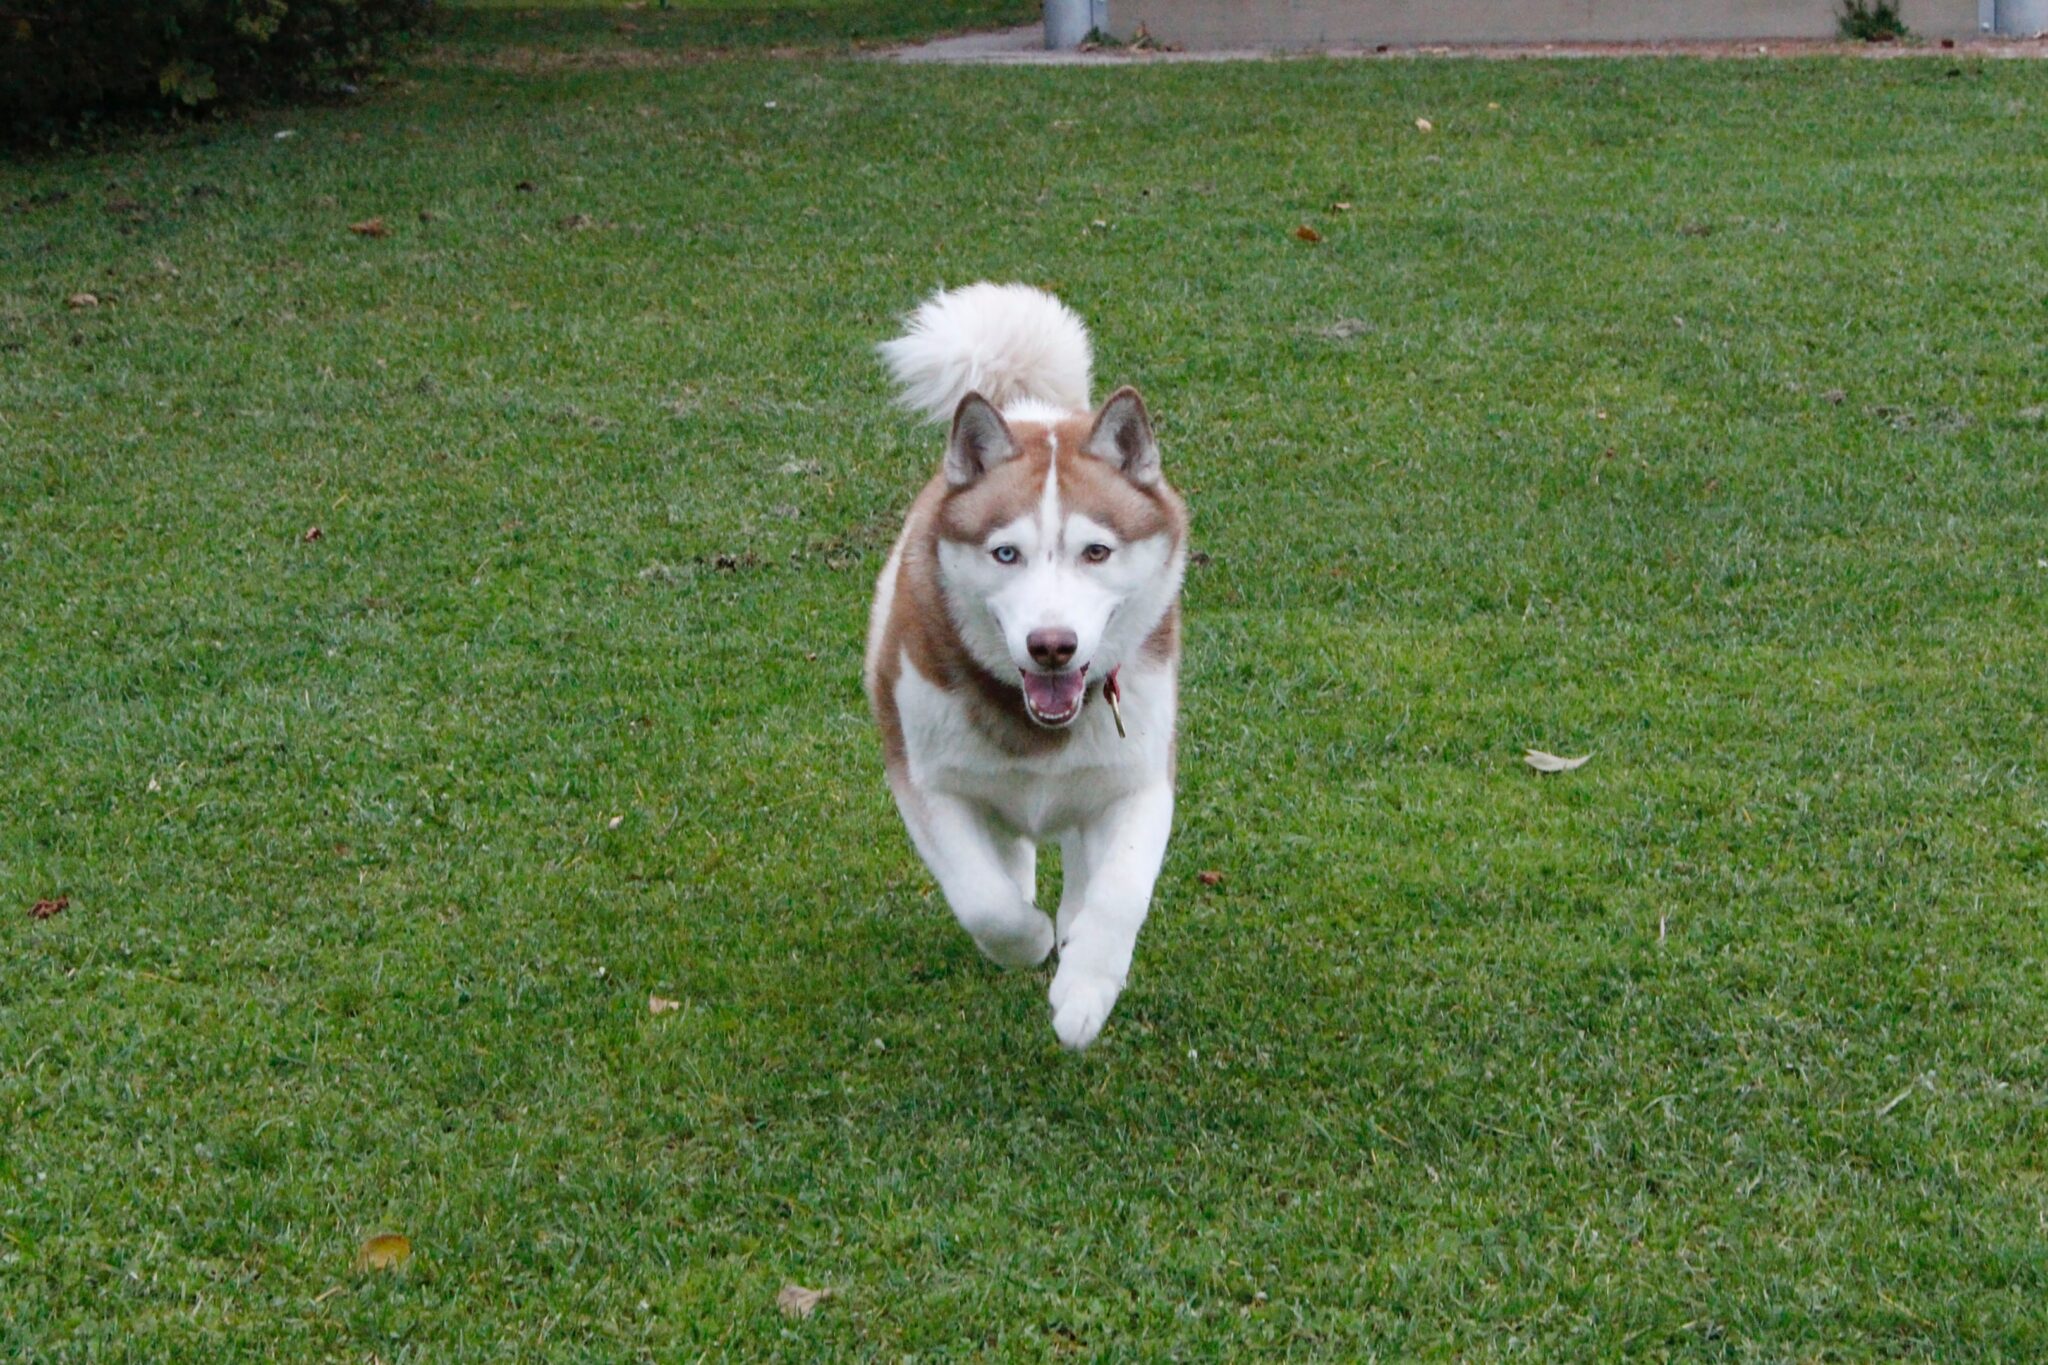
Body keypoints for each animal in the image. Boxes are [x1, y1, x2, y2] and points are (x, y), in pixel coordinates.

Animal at [860, 286, 1187, 1055]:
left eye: (1096, 551)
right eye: (1006, 553)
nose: (1052, 645)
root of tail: (1034, 410)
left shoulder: (1139, 779)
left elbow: (1120, 892)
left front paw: (1085, 990)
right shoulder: (926, 780)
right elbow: (986, 901)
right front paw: (1026, 939)